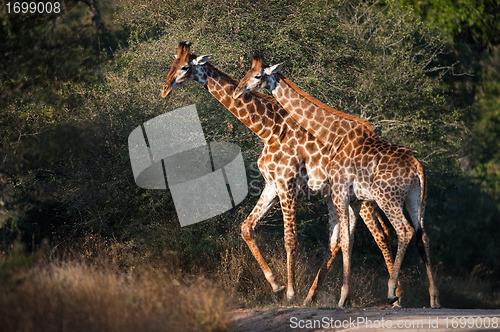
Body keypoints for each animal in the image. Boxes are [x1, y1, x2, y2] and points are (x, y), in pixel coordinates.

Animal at [164, 42, 398, 304]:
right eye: (172, 63)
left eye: (185, 67)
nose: (164, 89)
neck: (268, 129)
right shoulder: (272, 184)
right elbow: (247, 227)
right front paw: (276, 285)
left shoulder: (288, 184)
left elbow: (290, 238)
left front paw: (290, 292)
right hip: (344, 196)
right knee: (346, 238)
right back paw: (313, 297)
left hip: (358, 195)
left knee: (379, 235)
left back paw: (395, 297)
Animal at [232, 55, 440, 308]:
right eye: (247, 71)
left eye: (258, 75)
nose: (238, 91)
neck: (333, 133)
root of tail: (417, 167)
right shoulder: (354, 198)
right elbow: (346, 240)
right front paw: (344, 295)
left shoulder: (340, 191)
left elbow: (343, 240)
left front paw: (343, 297)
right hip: (416, 199)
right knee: (423, 235)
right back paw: (434, 298)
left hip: (387, 197)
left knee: (404, 230)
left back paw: (392, 292)